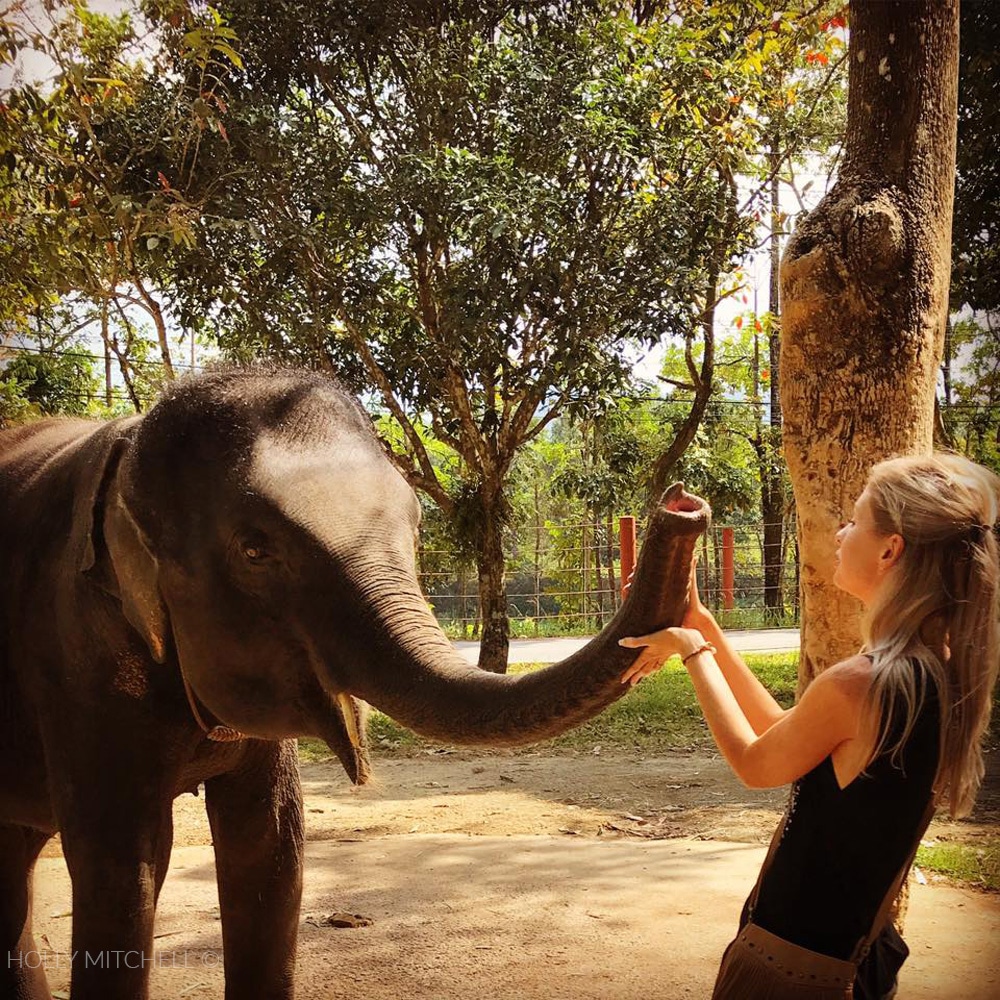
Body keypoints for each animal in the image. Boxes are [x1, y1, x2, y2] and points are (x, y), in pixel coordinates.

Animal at [0, 370, 712, 1000]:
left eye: (417, 525)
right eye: (255, 551)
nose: (683, 504)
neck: (131, 437)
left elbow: (271, 846)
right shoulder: (72, 653)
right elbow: (125, 868)